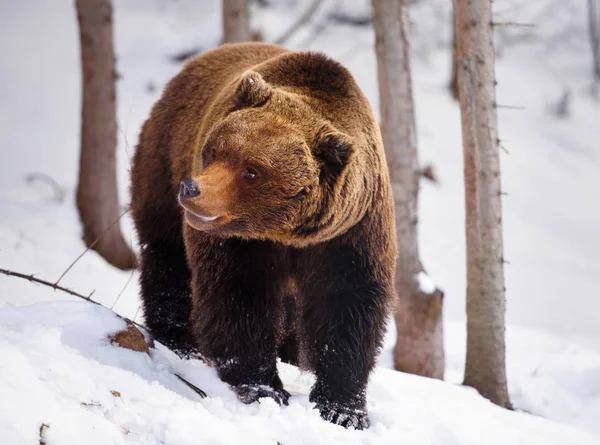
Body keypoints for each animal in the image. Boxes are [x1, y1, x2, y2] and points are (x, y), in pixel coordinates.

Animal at [132, 43, 398, 428]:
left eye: (252, 171)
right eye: (215, 150)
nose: (192, 189)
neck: (288, 233)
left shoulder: (351, 234)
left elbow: (348, 307)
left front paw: (344, 409)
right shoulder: (242, 243)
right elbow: (239, 296)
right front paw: (263, 387)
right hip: (163, 159)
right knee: (167, 256)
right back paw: (179, 337)